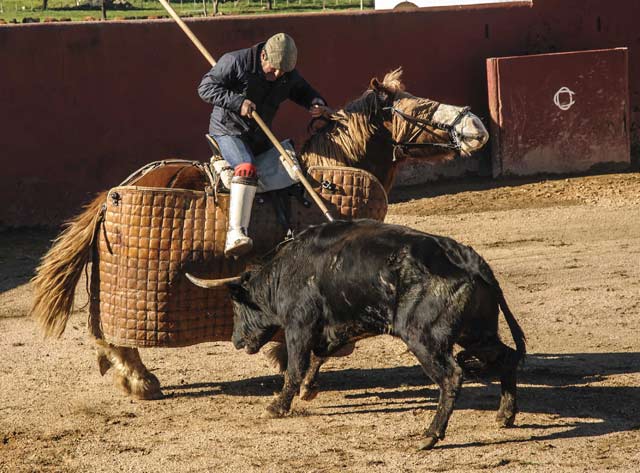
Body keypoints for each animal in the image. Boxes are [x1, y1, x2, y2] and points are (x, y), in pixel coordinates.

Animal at [31, 68, 490, 400]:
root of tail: (114, 193)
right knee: (119, 338)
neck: (332, 174)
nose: (477, 126)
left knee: (103, 334)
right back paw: (141, 381)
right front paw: (299, 376)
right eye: (423, 109)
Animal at [199, 219, 524, 448]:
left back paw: (429, 435)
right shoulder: (339, 326)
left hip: (424, 338)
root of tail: (469, 261)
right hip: (476, 333)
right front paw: (308, 390)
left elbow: (295, 366)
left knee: (451, 376)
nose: (236, 340)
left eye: (237, 305)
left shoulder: (298, 324)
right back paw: (505, 416)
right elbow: (320, 355)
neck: (285, 271)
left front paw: (278, 406)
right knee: (506, 358)